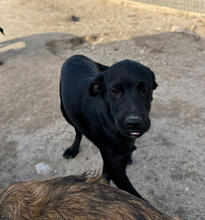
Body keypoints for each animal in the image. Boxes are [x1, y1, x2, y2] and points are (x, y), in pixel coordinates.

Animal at [59, 55, 157, 199]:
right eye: (115, 91)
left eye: (146, 89)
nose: (134, 123)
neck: (111, 120)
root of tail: (76, 56)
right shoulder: (115, 169)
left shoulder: (111, 164)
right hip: (65, 111)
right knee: (78, 130)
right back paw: (73, 149)